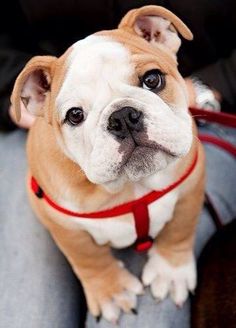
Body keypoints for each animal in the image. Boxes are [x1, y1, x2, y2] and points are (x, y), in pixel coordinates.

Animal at [10, 4, 205, 322]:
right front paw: (111, 290)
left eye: (153, 79)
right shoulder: (62, 224)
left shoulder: (191, 182)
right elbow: (87, 256)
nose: (123, 116)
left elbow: (180, 228)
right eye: (75, 115)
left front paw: (171, 271)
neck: (131, 188)